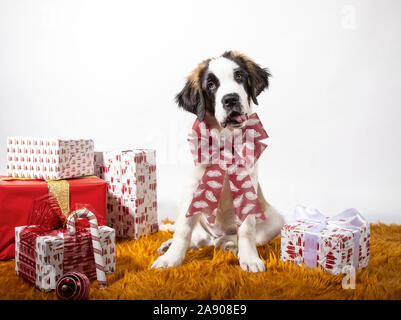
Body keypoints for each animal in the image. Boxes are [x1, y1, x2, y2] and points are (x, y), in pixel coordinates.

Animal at [150, 51, 284, 272]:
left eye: (239, 76)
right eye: (211, 85)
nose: (230, 99)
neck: (225, 139)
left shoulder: (248, 187)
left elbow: (246, 229)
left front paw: (250, 259)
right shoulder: (193, 188)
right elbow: (183, 229)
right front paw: (171, 258)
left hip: (276, 221)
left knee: (233, 237)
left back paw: (228, 244)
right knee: (197, 237)